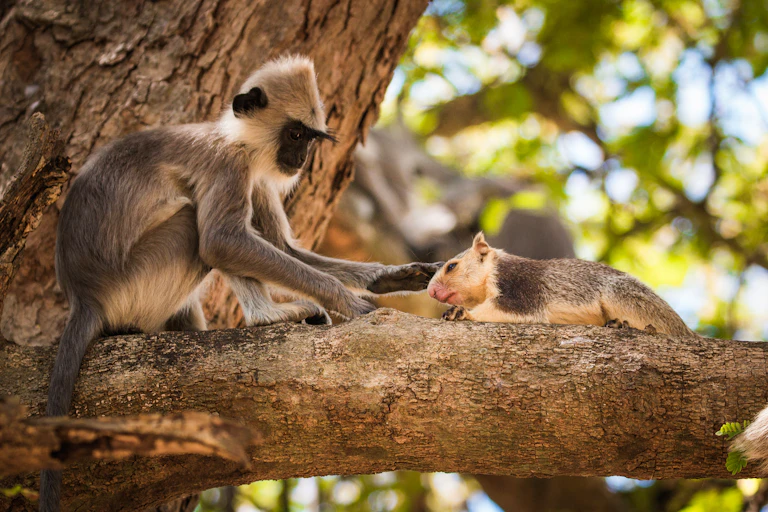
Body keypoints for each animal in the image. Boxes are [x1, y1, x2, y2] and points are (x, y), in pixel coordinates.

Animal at [426, 232, 694, 337]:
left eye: (452, 266)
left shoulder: (521, 284)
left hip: (623, 295)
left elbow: (517, 309)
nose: (431, 291)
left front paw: (462, 313)